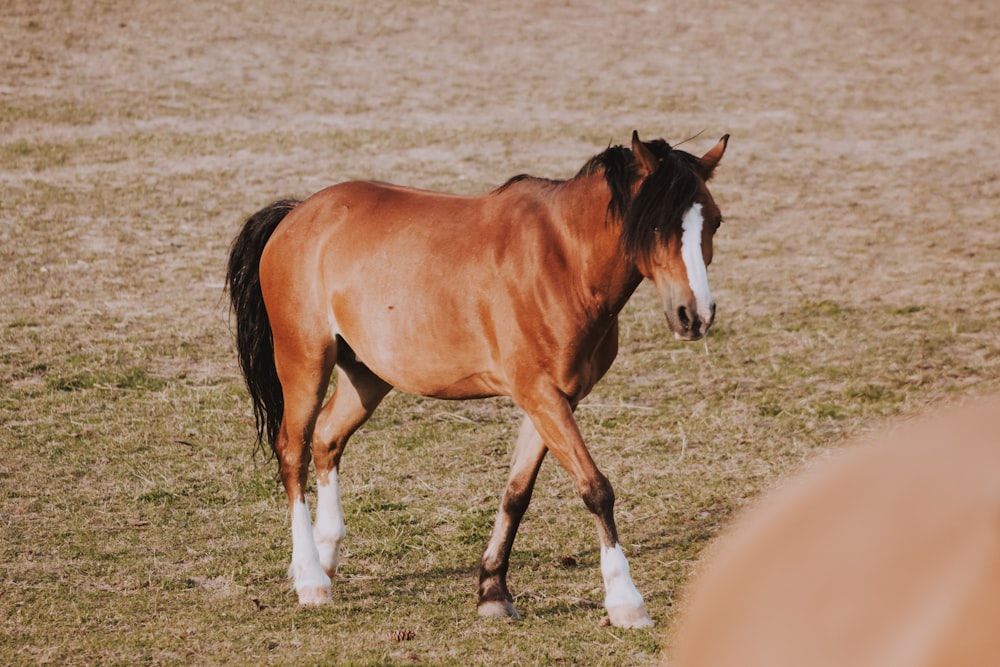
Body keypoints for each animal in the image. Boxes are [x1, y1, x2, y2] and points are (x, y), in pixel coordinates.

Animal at [225, 132, 728, 628]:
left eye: (715, 223)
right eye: (656, 226)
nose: (695, 315)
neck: (563, 262)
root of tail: (298, 214)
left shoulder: (554, 399)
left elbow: (517, 494)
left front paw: (492, 591)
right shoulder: (540, 395)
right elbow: (595, 489)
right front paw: (625, 601)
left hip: (367, 376)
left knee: (327, 438)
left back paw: (325, 556)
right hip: (305, 363)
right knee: (293, 452)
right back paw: (311, 578)